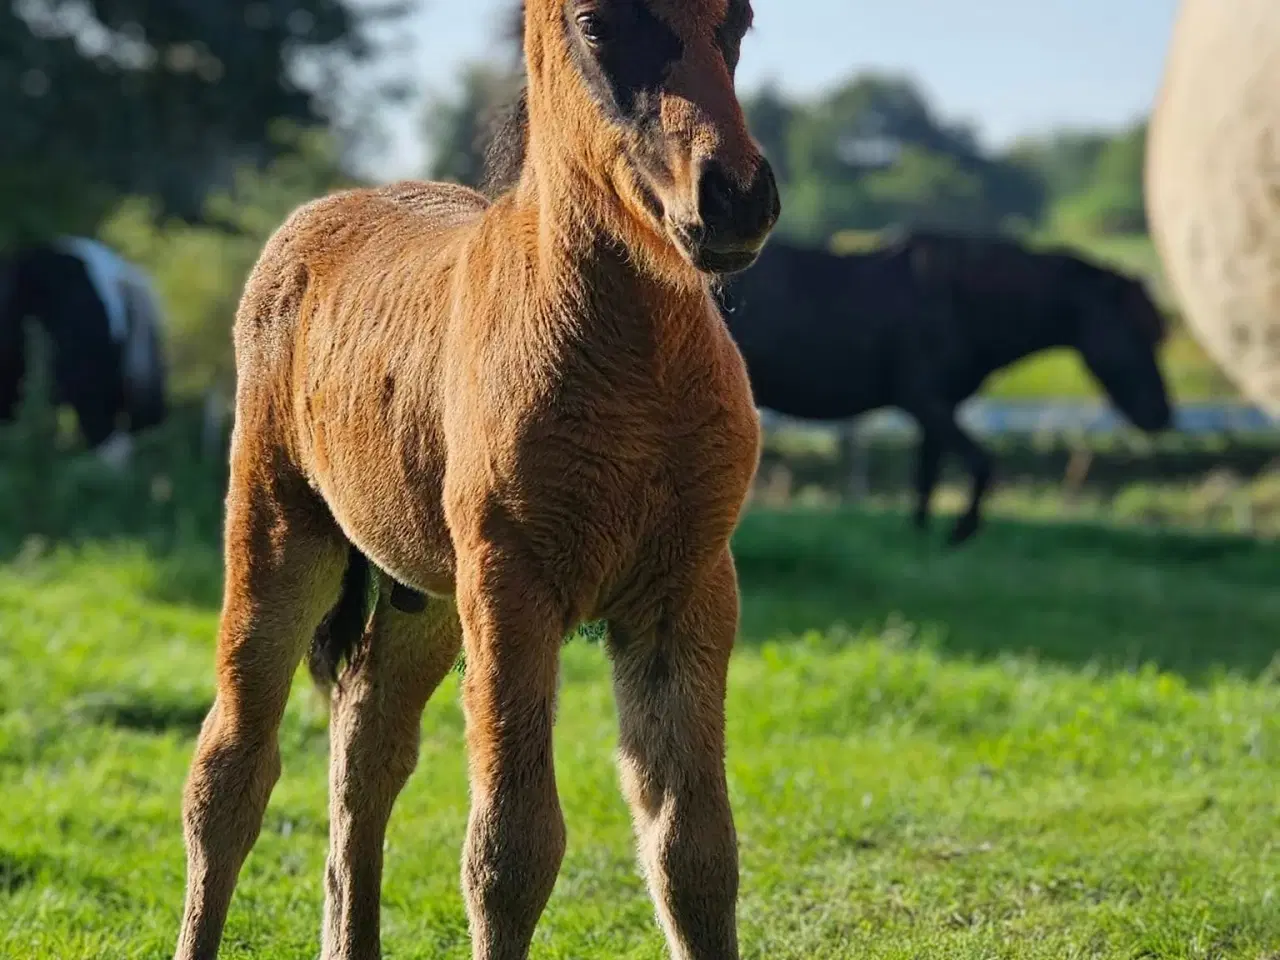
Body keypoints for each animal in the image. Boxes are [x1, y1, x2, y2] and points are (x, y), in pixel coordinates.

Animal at [172, 1, 778, 960]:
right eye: (597, 26)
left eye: (742, 21)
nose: (736, 196)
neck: (634, 364)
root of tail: (323, 213)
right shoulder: (510, 584)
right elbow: (511, 848)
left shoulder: (688, 586)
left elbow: (695, 850)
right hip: (281, 531)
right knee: (231, 768)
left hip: (425, 594)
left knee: (367, 743)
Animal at [716, 232, 1172, 545]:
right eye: (1135, 333)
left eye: (1156, 335)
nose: (1161, 414)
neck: (960, 303)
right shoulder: (927, 403)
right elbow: (982, 463)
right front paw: (962, 530)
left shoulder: (934, 413)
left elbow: (926, 477)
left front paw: (920, 538)